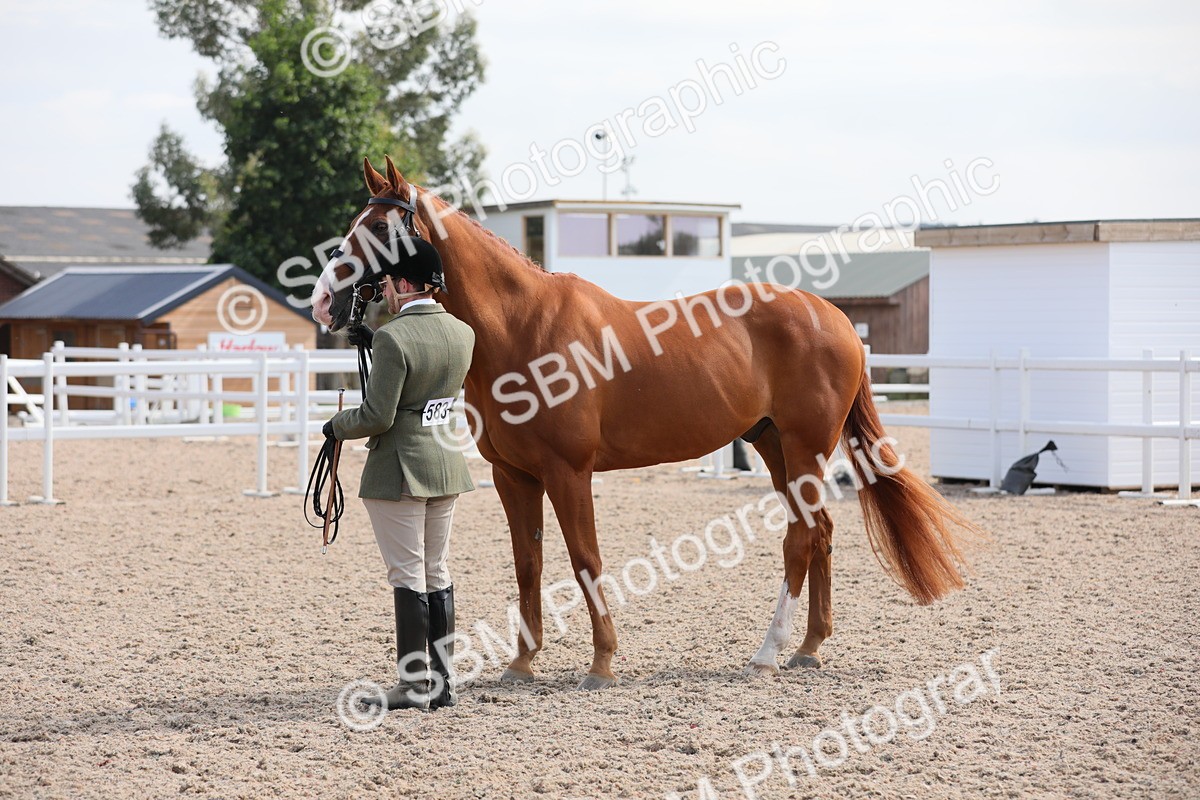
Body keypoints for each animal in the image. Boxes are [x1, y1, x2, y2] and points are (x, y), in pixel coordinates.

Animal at [311, 156, 980, 690]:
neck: (522, 326)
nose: (322, 302)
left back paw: (767, 654)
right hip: (773, 446)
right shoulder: (513, 477)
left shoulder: (569, 472)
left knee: (799, 538)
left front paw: (603, 663)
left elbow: (585, 558)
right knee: (819, 532)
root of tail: (833, 316)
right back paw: (809, 648)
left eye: (378, 228)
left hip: (805, 445)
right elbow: (529, 564)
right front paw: (522, 664)